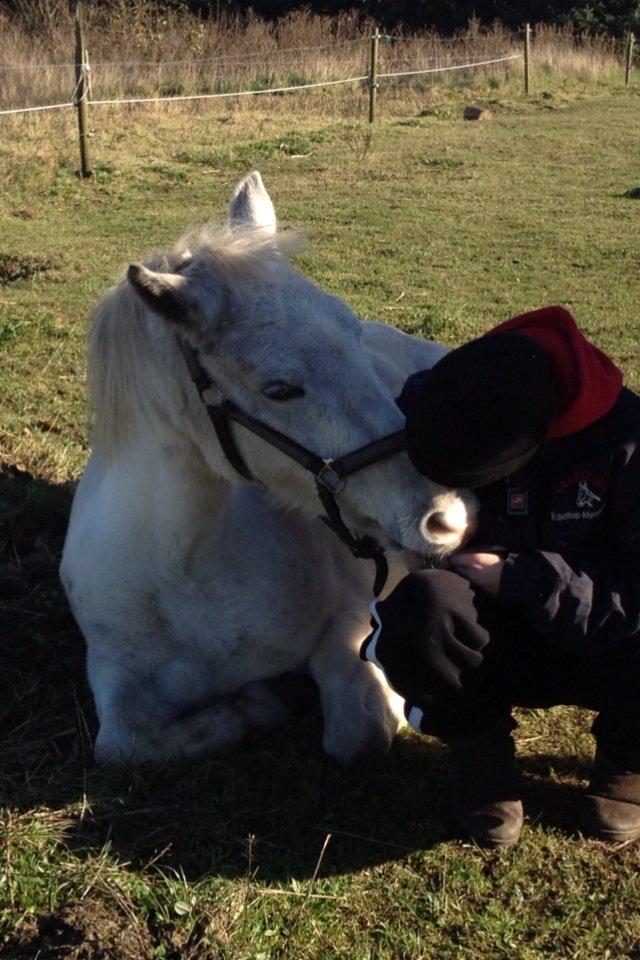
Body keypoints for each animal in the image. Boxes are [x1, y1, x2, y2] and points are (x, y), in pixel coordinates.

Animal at [61, 171, 476, 764]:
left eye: (354, 336)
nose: (447, 518)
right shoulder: (114, 679)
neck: (185, 574)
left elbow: (358, 731)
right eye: (279, 389)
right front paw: (262, 702)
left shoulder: (350, 621)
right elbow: (124, 745)